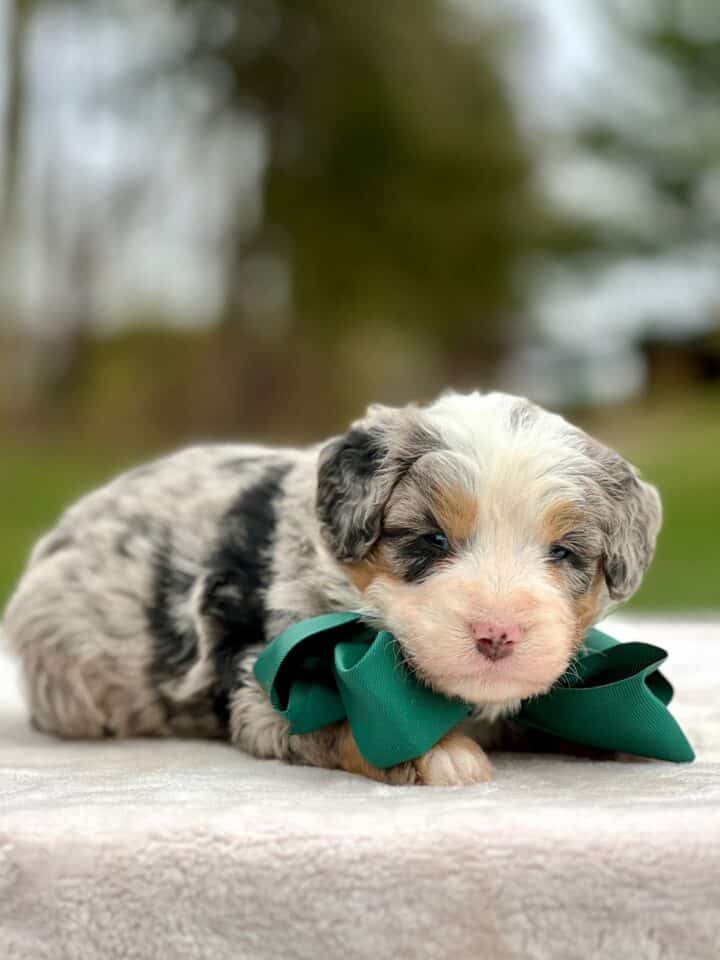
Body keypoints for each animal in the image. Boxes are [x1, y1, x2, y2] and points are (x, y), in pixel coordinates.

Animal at [1, 392, 664, 788]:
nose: (496, 632)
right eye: (430, 540)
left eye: (563, 553)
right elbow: (351, 723)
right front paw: (439, 753)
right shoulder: (268, 692)